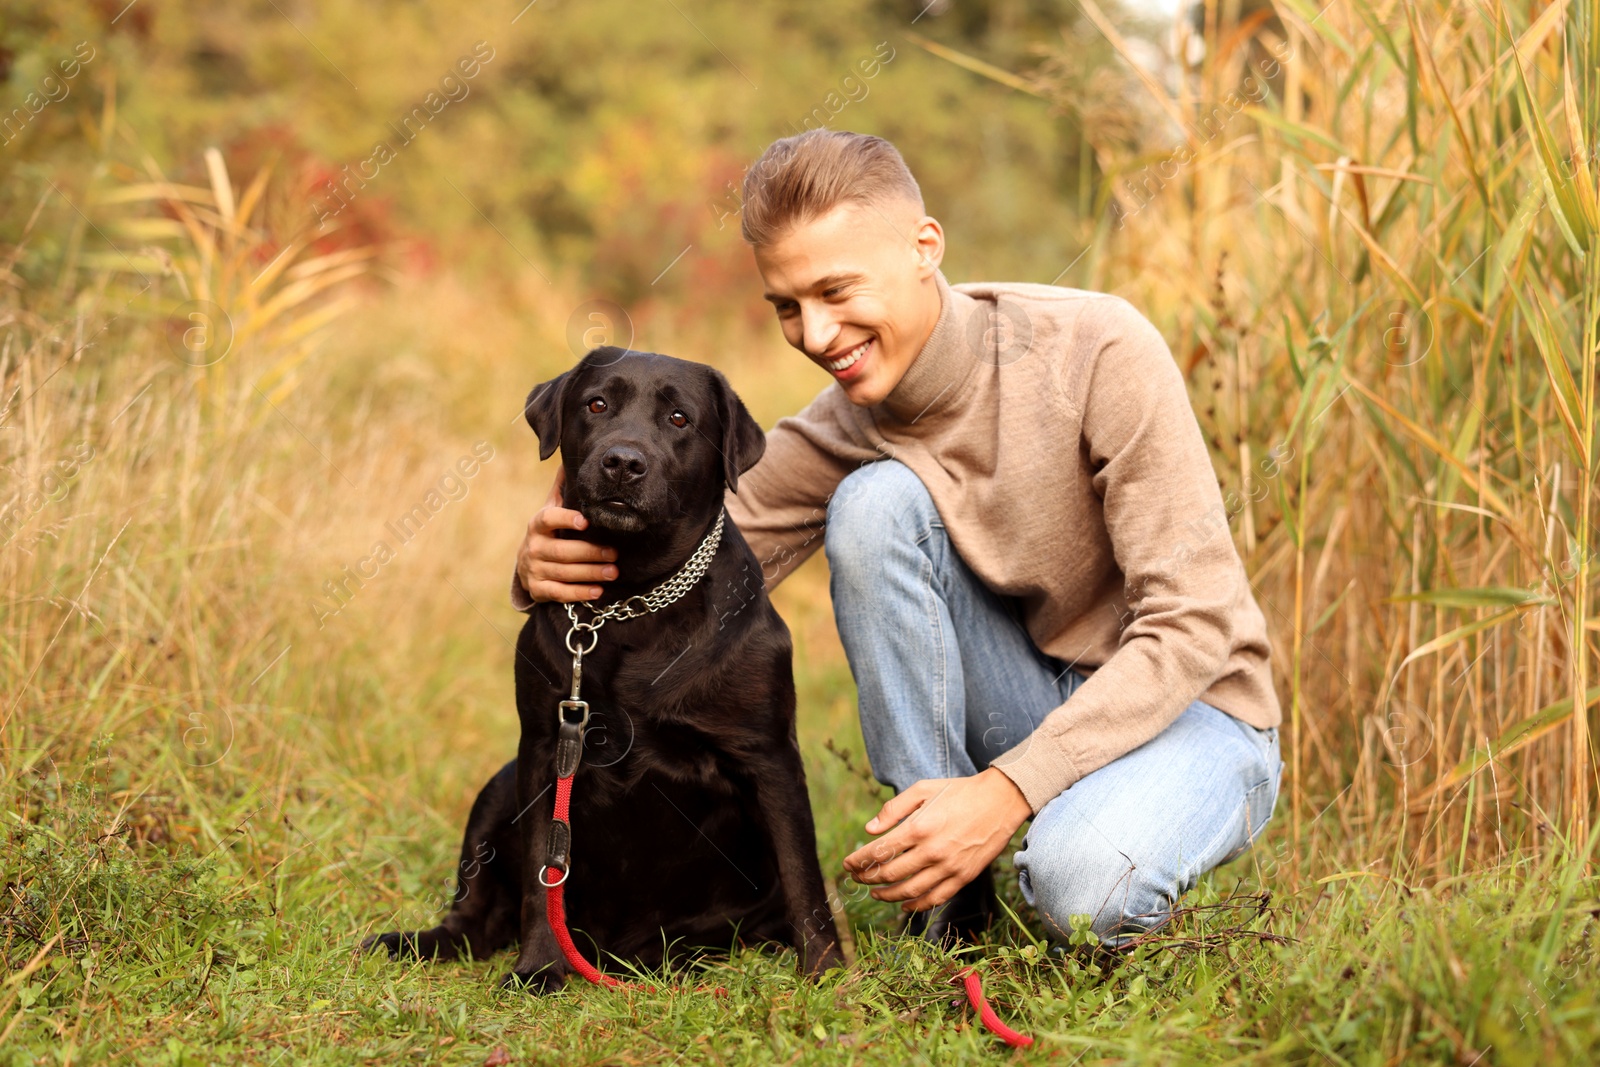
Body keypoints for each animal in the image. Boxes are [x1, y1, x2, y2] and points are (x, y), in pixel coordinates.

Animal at [360, 347, 838, 991]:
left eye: (680, 419)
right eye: (597, 404)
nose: (622, 462)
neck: (631, 598)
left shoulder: (770, 759)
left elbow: (804, 877)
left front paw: (828, 974)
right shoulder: (544, 747)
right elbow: (542, 876)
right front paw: (539, 967)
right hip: (499, 785)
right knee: (476, 919)